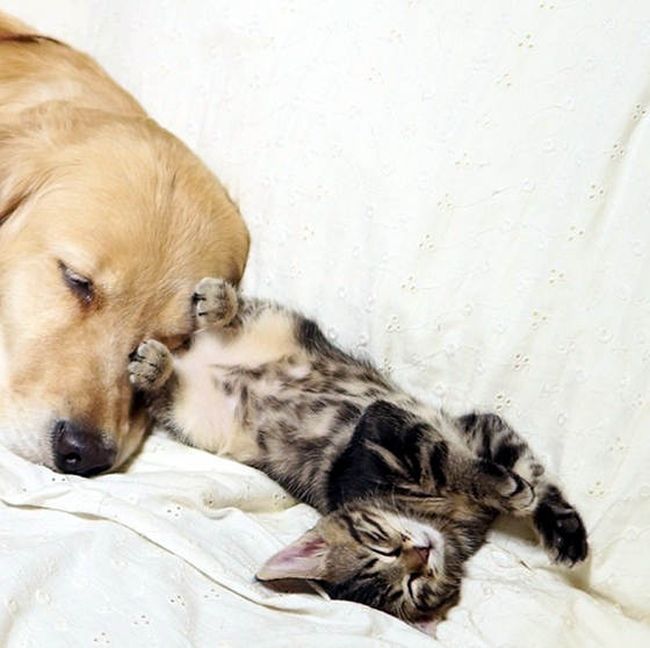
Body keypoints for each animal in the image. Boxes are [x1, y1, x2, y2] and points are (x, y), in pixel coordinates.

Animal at [128, 278, 588, 624]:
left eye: (417, 586)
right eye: (381, 549)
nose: (422, 554)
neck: (444, 519)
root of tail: (193, 359)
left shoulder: (479, 427)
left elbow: (530, 468)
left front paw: (566, 532)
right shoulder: (377, 430)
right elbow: (442, 459)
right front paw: (506, 488)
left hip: (273, 333)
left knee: (230, 322)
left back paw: (212, 307)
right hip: (194, 412)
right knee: (168, 380)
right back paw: (163, 357)